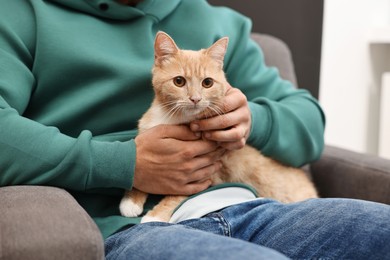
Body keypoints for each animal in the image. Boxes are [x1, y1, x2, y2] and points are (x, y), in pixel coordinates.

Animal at [120, 31, 318, 222]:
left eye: (207, 83)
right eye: (179, 81)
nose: (195, 99)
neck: (171, 118)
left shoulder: (202, 175)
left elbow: (174, 197)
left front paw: (155, 216)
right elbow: (142, 177)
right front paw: (131, 200)